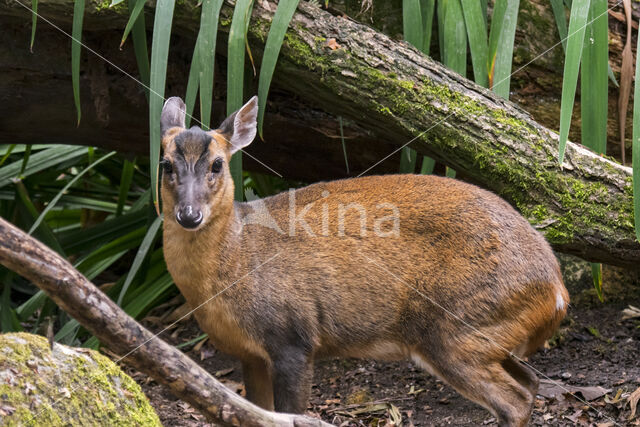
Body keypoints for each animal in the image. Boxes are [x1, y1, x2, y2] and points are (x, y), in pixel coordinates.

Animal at [161, 95, 568, 426]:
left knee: (514, 400)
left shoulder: (293, 337)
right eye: (166, 164)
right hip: (487, 331)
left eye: (217, 164)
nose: (189, 214)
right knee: (531, 382)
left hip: (457, 326)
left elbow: (290, 415)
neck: (239, 258)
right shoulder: (250, 355)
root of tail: (558, 290)